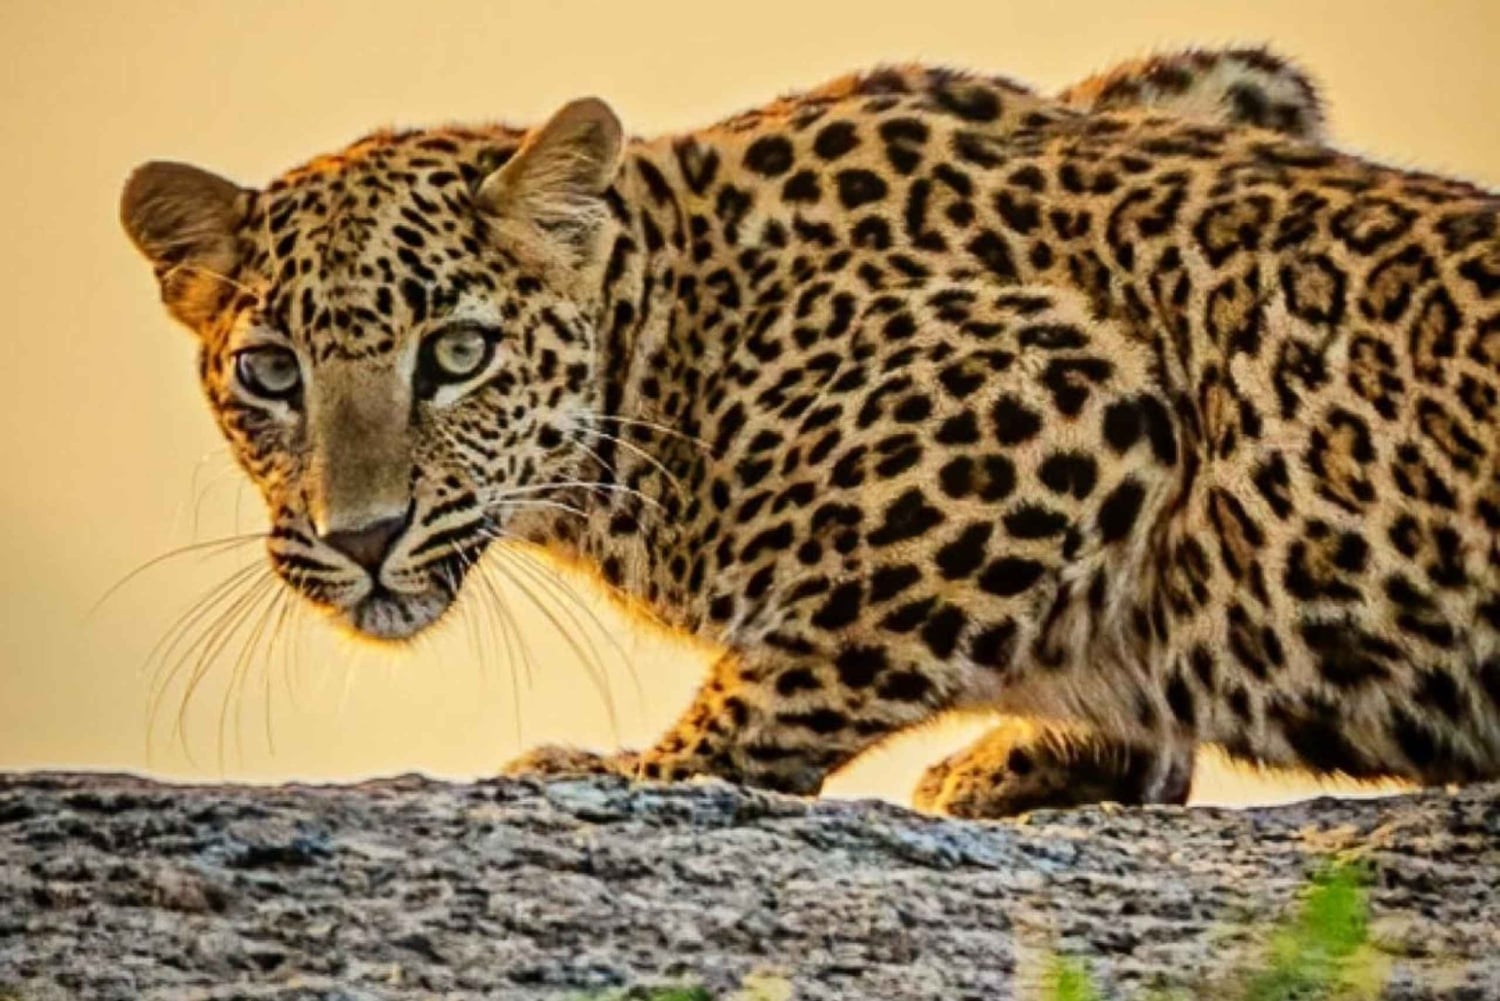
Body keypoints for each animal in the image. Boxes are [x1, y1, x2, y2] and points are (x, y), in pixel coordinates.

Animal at [119, 45, 1500, 820]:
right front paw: (1071, 754)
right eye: (271, 372)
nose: (362, 537)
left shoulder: (1070, 389)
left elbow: (797, 659)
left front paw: (622, 770)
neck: (676, 322)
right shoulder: (1235, 89)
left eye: (457, 353)